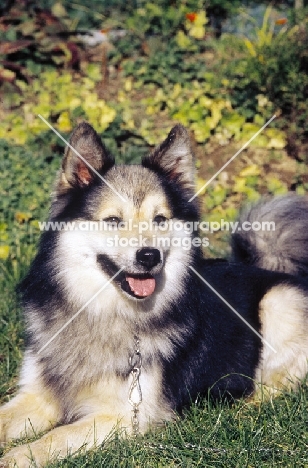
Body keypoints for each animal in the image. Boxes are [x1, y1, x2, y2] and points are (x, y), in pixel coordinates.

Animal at [0, 122, 308, 466]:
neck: (103, 311)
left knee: (280, 383)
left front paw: (16, 456)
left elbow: (54, 437)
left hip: (280, 302)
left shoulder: (127, 415)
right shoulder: (36, 395)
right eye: (113, 220)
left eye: (160, 219)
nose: (149, 256)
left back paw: (245, 406)